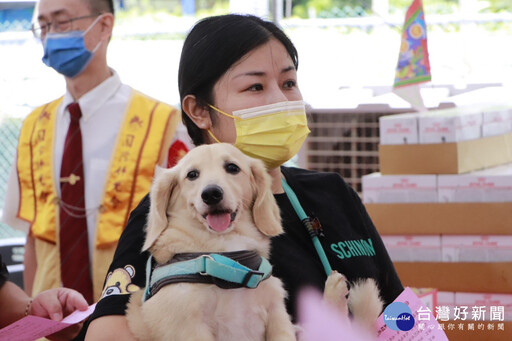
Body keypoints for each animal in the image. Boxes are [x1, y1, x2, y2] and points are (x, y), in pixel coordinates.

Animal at [126, 143, 296, 340]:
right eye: (192, 174)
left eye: (232, 167)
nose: (211, 194)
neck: (229, 263)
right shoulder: (187, 324)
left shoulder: (276, 312)